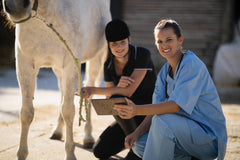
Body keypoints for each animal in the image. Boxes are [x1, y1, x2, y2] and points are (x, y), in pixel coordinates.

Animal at [2, 0, 111, 159]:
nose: (16, 8)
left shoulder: (71, 65)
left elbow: (68, 111)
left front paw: (70, 154)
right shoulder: (24, 66)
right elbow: (27, 112)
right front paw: (21, 154)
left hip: (95, 59)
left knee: (89, 93)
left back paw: (88, 137)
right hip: (58, 69)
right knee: (62, 92)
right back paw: (58, 131)